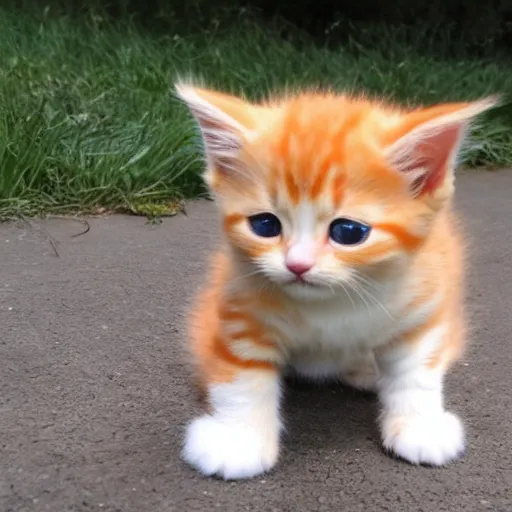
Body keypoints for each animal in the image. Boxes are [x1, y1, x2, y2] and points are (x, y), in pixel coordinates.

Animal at [176, 82, 496, 478]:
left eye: (348, 232)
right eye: (264, 225)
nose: (297, 264)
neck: (331, 304)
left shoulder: (424, 300)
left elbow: (416, 369)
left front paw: (419, 427)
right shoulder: (239, 303)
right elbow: (241, 375)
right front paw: (238, 440)